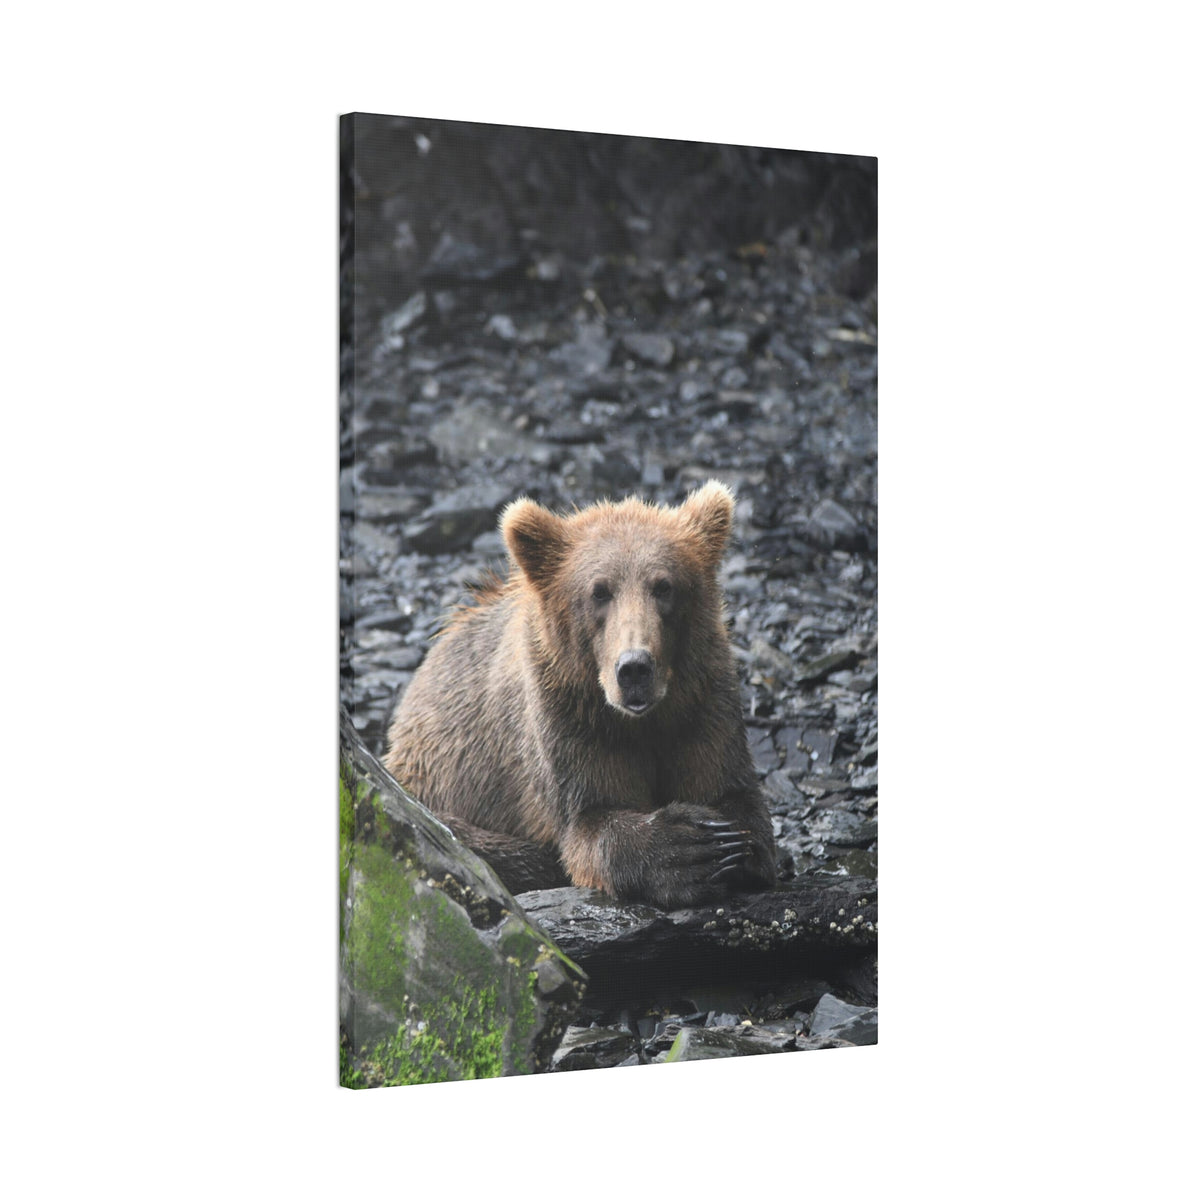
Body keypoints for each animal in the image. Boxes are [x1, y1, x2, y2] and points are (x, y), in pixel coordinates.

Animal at [382, 480, 777, 909]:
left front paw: (732, 844)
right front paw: (688, 849)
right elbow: (590, 819)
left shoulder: (702, 701)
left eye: (664, 586)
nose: (634, 668)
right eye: (599, 591)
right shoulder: (567, 719)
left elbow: (731, 790)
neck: (641, 721)